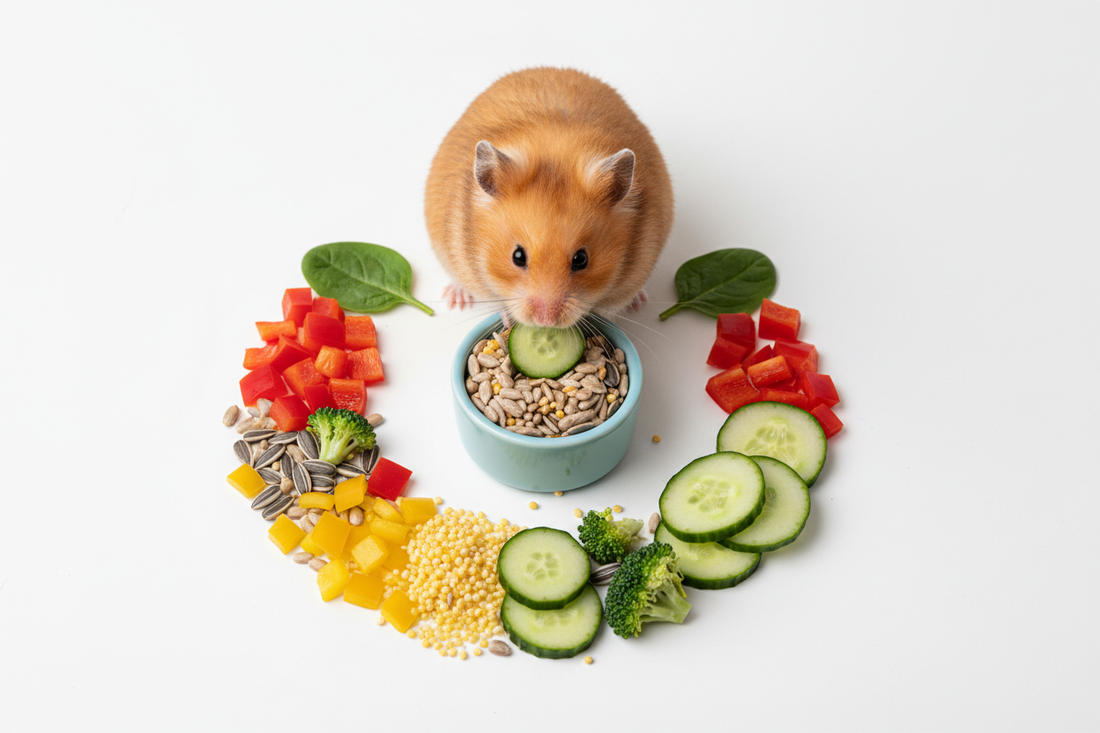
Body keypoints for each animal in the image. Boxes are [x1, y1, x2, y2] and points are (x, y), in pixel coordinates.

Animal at [424, 67, 673, 328]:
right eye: (517, 256)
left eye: (581, 259)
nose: (545, 322)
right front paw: (506, 321)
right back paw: (455, 299)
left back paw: (639, 302)